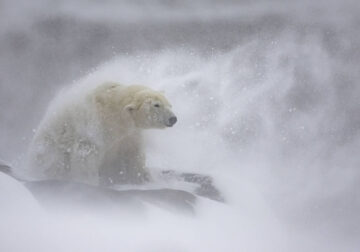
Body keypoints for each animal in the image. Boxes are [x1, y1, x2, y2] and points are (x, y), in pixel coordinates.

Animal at [27, 82, 177, 185]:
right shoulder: (95, 128)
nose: (173, 118)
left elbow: (133, 155)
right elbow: (86, 155)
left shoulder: (129, 134)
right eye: (156, 105)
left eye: (169, 104)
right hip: (51, 147)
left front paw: (143, 178)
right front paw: (89, 181)